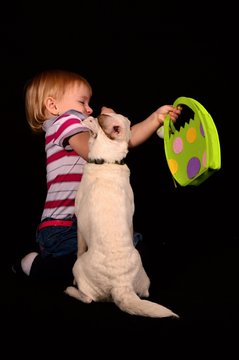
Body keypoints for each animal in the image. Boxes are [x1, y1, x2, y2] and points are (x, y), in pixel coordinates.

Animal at [64, 112, 178, 318]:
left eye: (94, 119)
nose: (88, 116)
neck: (108, 161)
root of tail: (121, 286)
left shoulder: (79, 227)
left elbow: (78, 248)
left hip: (78, 267)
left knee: (87, 299)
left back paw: (71, 289)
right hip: (143, 276)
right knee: (145, 293)